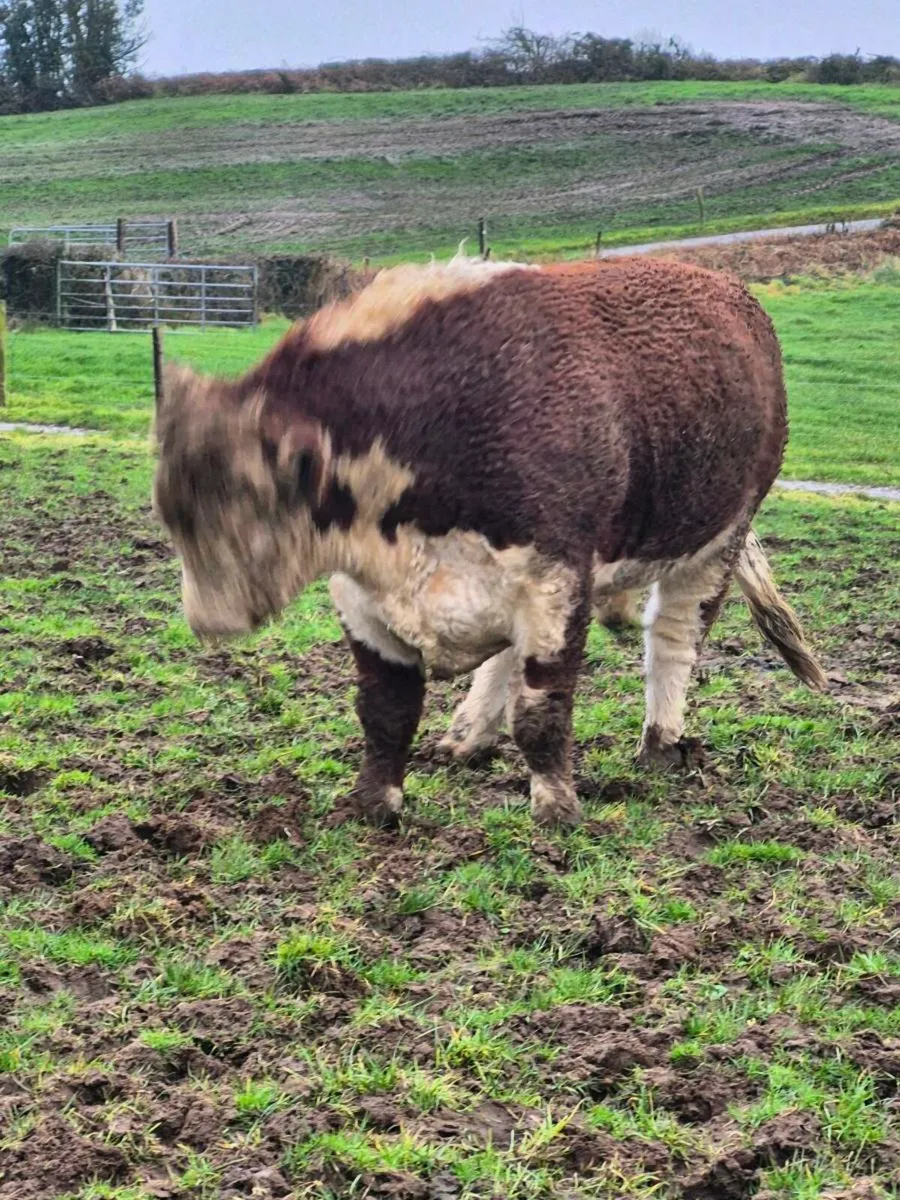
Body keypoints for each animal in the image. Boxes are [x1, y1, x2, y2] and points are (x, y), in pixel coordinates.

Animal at [152, 255, 826, 827]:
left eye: (249, 503)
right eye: (172, 513)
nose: (206, 619)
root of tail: (726, 286)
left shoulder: (557, 581)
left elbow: (541, 710)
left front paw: (556, 811)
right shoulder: (362, 599)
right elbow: (386, 711)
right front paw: (374, 804)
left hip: (717, 539)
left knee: (673, 638)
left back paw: (660, 743)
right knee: (505, 655)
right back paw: (467, 737)